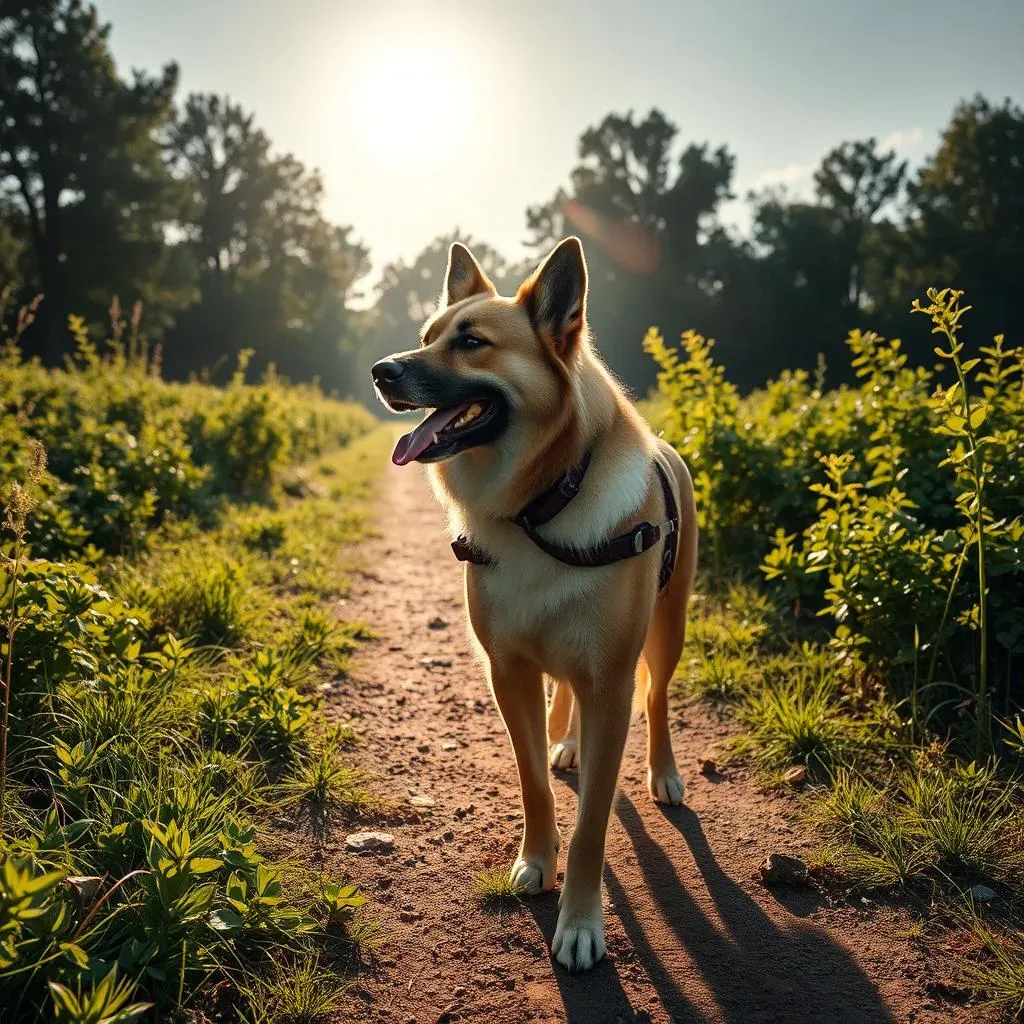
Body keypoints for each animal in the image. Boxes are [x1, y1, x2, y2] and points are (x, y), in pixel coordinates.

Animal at [372, 235, 700, 970]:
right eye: (427, 337)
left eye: (471, 342)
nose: (380, 369)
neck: (541, 505)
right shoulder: (510, 671)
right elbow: (534, 784)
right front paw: (536, 859)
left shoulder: (611, 686)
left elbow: (592, 824)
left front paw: (579, 923)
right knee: (567, 700)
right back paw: (567, 744)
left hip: (668, 632)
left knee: (658, 697)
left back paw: (663, 772)